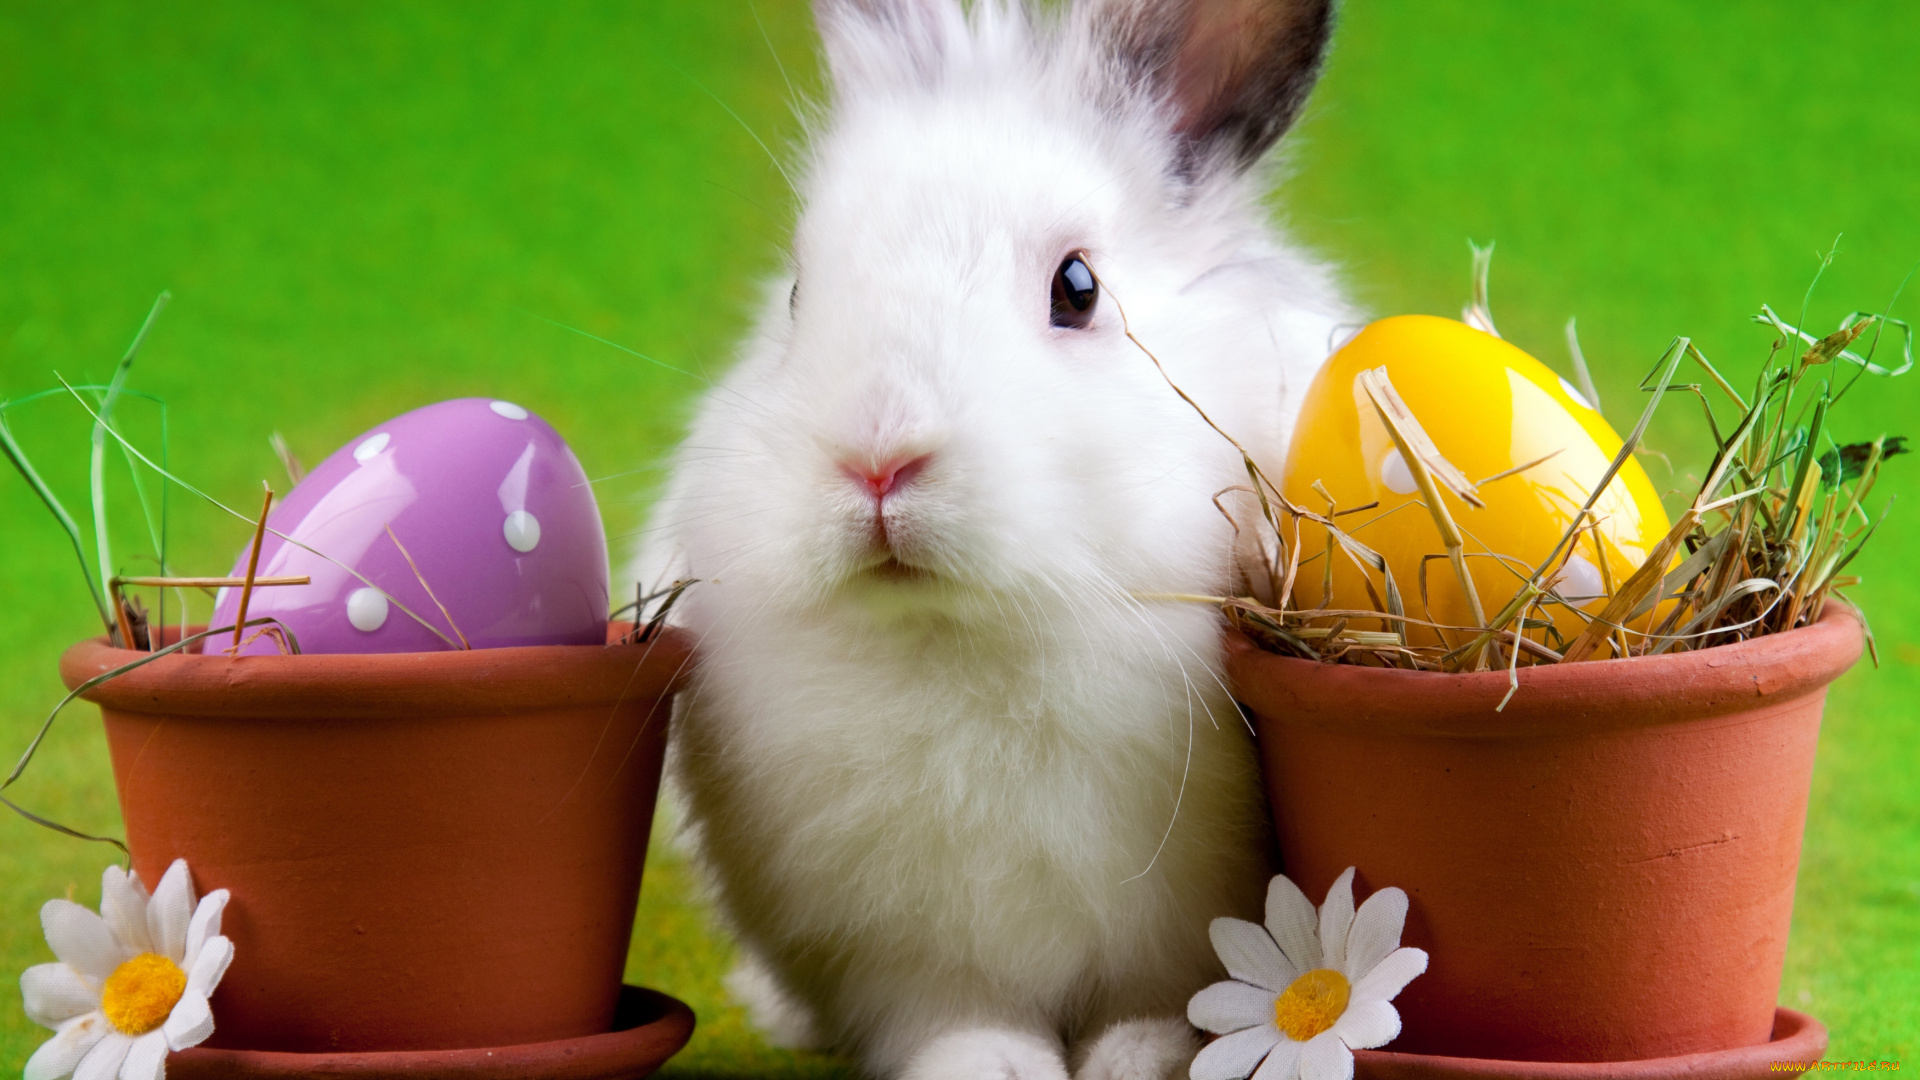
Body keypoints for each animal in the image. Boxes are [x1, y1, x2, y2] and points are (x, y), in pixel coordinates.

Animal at [635, 1, 1354, 1077]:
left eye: (1078, 287)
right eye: (799, 293)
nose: (878, 460)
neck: (971, 634)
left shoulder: (1183, 921)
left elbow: (1163, 995)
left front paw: (1140, 1055)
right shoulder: (896, 951)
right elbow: (953, 1013)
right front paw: (990, 1063)